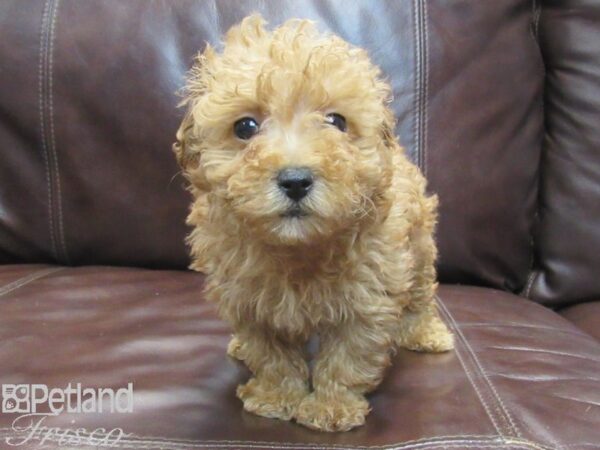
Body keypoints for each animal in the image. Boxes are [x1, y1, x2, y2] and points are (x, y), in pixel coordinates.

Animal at [175, 14, 454, 432]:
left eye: (337, 121)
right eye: (245, 127)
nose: (295, 180)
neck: (298, 248)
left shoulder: (368, 298)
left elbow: (348, 356)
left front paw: (330, 407)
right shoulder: (248, 299)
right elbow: (270, 352)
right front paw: (277, 396)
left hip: (419, 248)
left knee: (421, 295)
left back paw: (428, 333)